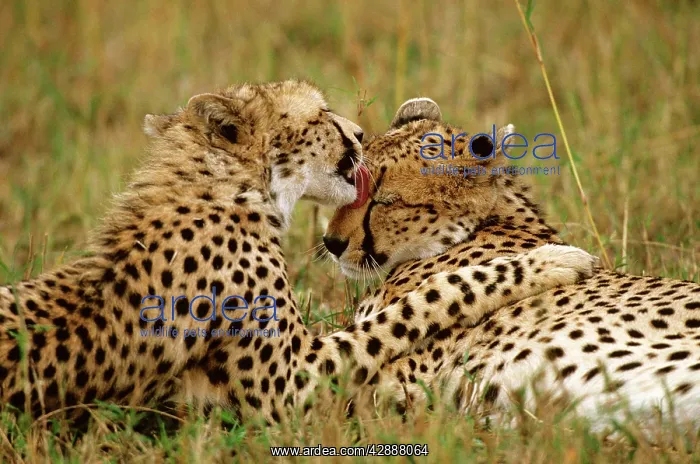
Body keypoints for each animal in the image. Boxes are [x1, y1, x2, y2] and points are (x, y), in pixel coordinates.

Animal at [0, 81, 598, 427]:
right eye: (323, 114)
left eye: (383, 199)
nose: (357, 130)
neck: (224, 190)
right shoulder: (289, 386)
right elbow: (430, 299)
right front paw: (553, 261)